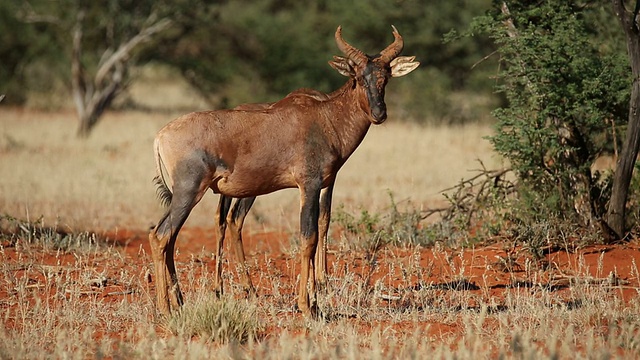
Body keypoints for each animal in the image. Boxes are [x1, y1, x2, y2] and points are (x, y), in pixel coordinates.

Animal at [149, 26, 420, 318]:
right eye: (358, 77)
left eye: (386, 77)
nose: (379, 114)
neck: (324, 117)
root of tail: (161, 135)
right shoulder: (309, 185)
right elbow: (308, 237)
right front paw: (307, 306)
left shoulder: (321, 185)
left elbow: (316, 232)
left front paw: (315, 301)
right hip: (189, 191)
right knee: (162, 235)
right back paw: (166, 308)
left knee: (166, 235)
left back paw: (180, 302)